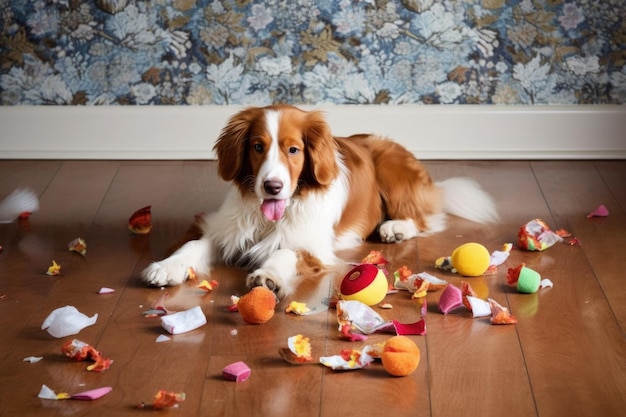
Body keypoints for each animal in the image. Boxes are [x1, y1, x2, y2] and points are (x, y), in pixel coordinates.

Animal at [143, 105, 498, 298]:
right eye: (258, 147)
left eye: (293, 149)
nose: (272, 187)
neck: (269, 217)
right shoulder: (225, 229)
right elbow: (193, 245)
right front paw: (167, 267)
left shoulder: (312, 244)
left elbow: (284, 251)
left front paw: (268, 276)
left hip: (388, 165)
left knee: (426, 218)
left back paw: (395, 228)